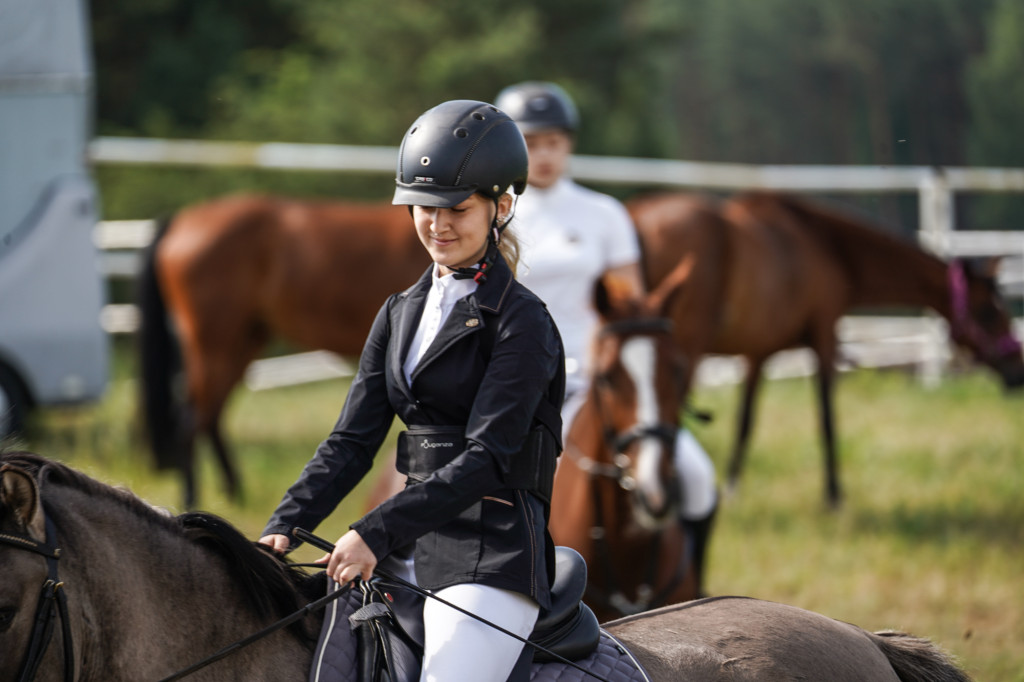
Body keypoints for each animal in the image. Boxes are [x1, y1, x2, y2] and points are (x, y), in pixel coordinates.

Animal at [139, 191, 428, 503]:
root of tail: (182, 220)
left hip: (242, 343)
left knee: (210, 415)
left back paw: (234, 490)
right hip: (213, 343)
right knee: (191, 421)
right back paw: (192, 497)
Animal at [630, 189, 1024, 503]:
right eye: (989, 312)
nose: (1017, 369)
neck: (829, 247)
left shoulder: (758, 352)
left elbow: (745, 422)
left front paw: (731, 488)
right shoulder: (824, 336)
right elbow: (827, 418)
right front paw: (834, 495)